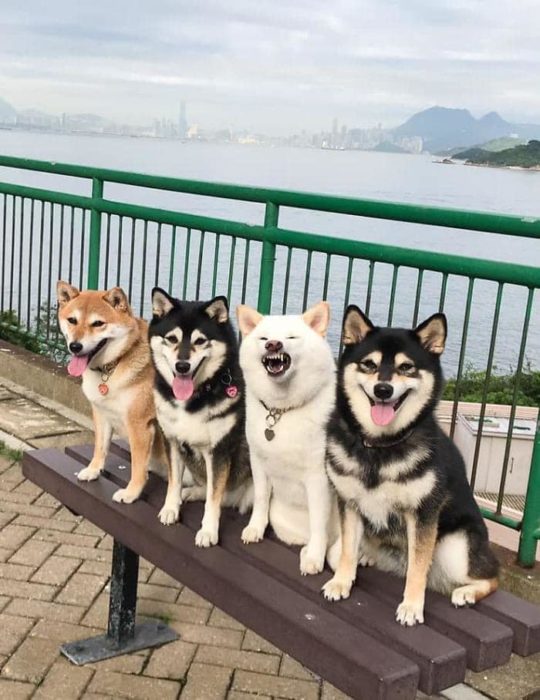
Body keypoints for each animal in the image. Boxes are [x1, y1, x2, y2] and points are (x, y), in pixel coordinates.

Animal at [57, 278, 166, 504]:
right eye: (72, 320)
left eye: (98, 323)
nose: (75, 346)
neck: (112, 367)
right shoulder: (101, 413)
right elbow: (100, 447)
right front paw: (93, 470)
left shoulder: (139, 425)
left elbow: (137, 466)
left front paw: (132, 492)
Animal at [149, 290, 252, 548]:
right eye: (172, 339)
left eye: (200, 341)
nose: (182, 366)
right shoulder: (172, 441)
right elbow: (174, 482)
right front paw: (170, 508)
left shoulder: (219, 451)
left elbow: (214, 499)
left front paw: (208, 530)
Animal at [237, 304, 338, 576]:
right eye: (263, 338)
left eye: (292, 337)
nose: (273, 344)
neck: (282, 409)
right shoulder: (258, 463)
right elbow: (261, 498)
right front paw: (255, 527)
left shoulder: (318, 477)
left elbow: (318, 521)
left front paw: (314, 556)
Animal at [322, 308, 500, 628]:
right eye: (369, 364)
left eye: (406, 367)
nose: (383, 389)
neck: (380, 446)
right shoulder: (349, 503)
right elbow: (345, 553)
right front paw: (341, 582)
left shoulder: (423, 514)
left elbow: (418, 568)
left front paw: (412, 606)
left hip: (456, 547)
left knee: (493, 575)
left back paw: (467, 592)